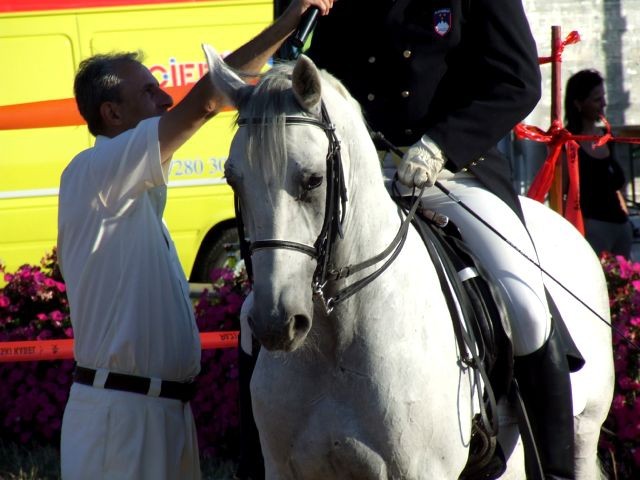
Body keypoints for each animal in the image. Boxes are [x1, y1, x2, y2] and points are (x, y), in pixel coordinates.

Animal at [204, 46, 616, 480]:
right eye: (233, 179)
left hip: (584, 427)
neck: (335, 338)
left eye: (313, 179)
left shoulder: (421, 470)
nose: (275, 323)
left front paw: (420, 163)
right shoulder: (285, 469)